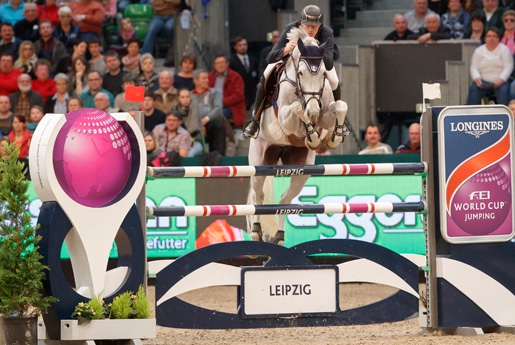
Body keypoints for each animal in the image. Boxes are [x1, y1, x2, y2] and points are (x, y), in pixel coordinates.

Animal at [248, 27, 348, 245]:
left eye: (322, 74)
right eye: (301, 72)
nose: (313, 111)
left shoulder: (326, 113)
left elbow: (339, 106)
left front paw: (331, 138)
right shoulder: (285, 120)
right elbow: (296, 109)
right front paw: (312, 135)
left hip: (301, 169)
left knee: (285, 200)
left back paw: (279, 236)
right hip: (260, 161)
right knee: (259, 196)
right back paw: (256, 231)